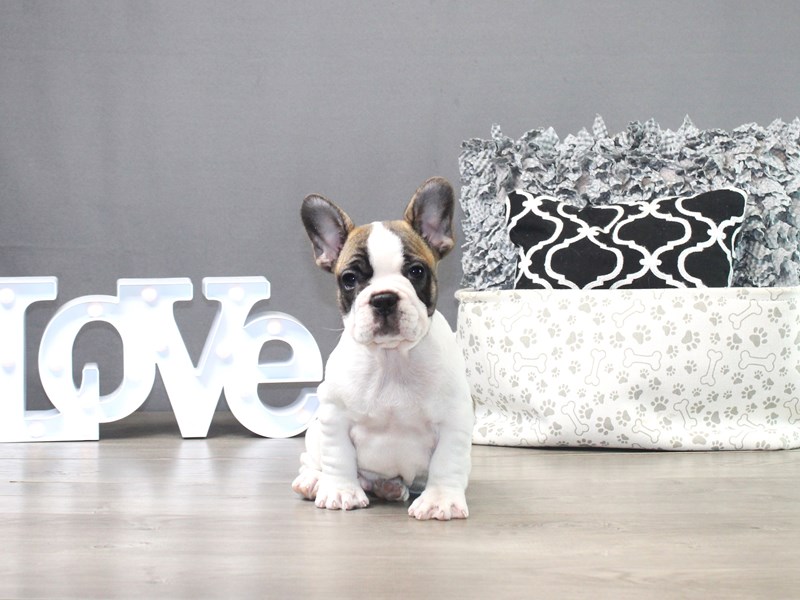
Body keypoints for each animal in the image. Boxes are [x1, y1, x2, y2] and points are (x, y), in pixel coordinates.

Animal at [292, 177, 474, 520]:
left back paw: (388, 487)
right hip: (314, 432)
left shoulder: (454, 420)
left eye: (416, 272)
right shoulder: (334, 416)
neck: (392, 359)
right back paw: (314, 481)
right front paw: (341, 491)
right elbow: (339, 458)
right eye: (350, 279)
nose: (384, 298)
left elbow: (447, 463)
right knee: (312, 459)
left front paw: (440, 500)